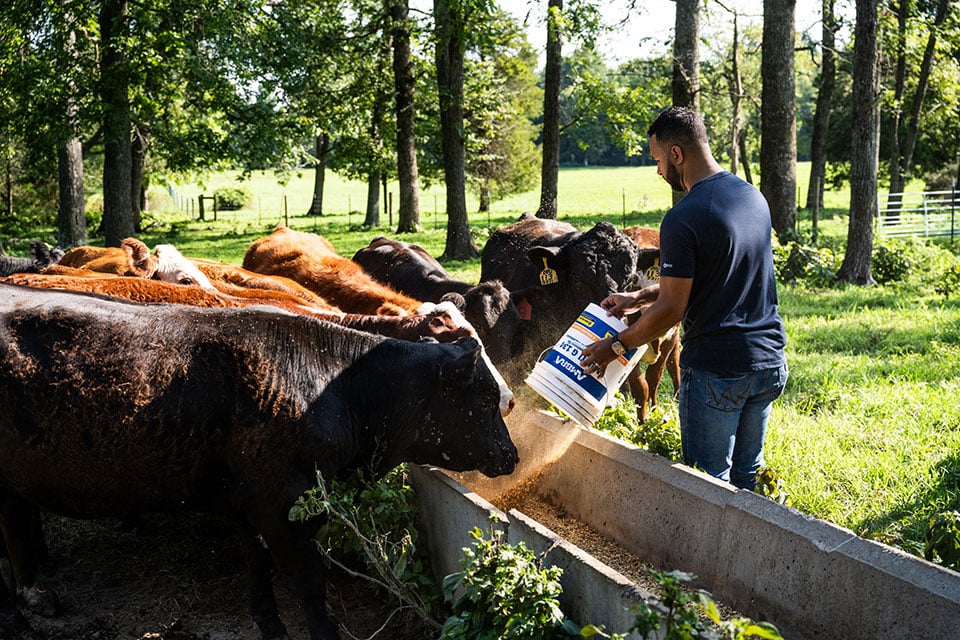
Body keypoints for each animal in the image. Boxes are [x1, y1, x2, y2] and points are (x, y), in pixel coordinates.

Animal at [0, 283, 519, 640]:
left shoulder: (248, 504)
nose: (512, 454)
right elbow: (309, 584)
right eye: (482, 399)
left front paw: (269, 624)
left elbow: (257, 565)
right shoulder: (280, 509)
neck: (338, 388)